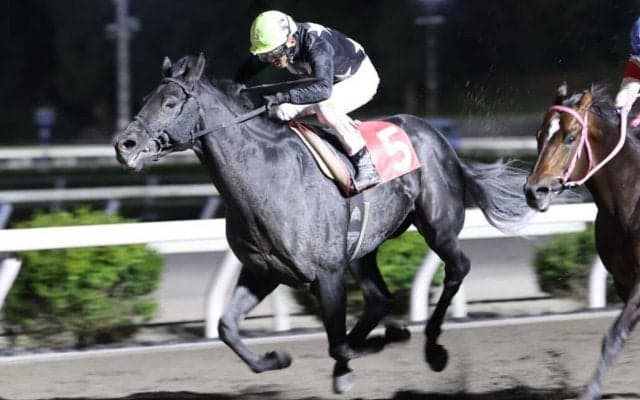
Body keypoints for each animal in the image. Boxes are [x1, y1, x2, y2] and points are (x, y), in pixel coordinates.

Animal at [114, 54, 531, 393]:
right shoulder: (263, 272)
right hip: (363, 248)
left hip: (438, 226)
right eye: (144, 100)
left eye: (170, 103)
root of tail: (440, 139)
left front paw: (390, 337)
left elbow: (337, 342)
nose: (124, 145)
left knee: (457, 268)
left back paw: (431, 347)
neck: (266, 176)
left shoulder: (327, 272)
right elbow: (227, 327)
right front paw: (276, 359)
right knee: (379, 297)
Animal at [524, 83, 640, 400]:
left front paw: (590, 390)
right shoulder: (622, 280)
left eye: (570, 138)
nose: (534, 191)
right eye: (538, 135)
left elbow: (615, 334)